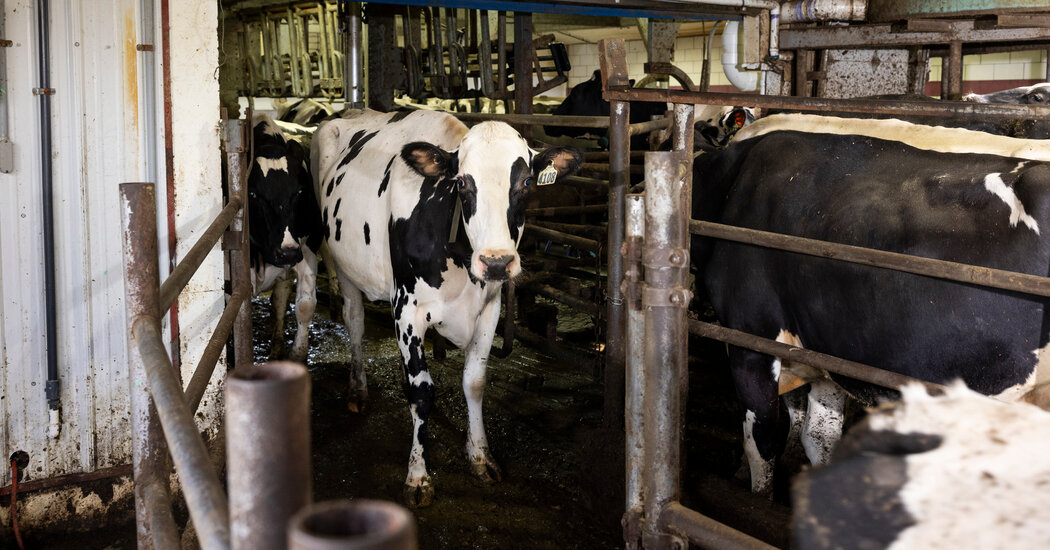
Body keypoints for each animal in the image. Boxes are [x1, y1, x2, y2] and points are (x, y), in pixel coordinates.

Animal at [248, 112, 323, 361]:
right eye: (253, 194)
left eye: (299, 191)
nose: (287, 252)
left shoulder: (307, 249)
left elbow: (305, 305)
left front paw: (297, 354)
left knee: (280, 300)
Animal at [306, 108, 588, 508]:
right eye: (462, 183)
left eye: (526, 183)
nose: (497, 262)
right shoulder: (406, 309)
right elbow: (422, 392)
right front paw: (418, 476)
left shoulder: (490, 308)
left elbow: (474, 382)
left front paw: (480, 456)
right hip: (342, 263)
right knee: (355, 322)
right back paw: (358, 391)